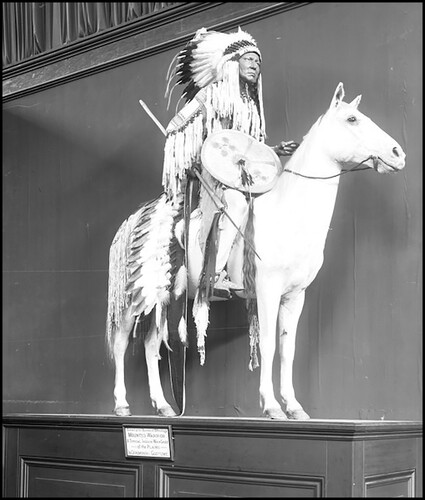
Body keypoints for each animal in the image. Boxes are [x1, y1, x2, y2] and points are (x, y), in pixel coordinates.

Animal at [105, 82, 404, 418]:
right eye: (352, 119)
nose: (398, 153)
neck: (288, 215)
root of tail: (134, 219)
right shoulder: (267, 291)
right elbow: (269, 345)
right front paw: (271, 406)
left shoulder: (294, 297)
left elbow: (287, 349)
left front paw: (294, 406)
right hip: (137, 296)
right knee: (121, 342)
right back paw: (121, 404)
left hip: (165, 298)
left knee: (150, 344)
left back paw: (163, 405)